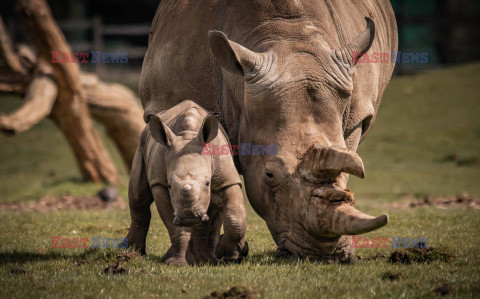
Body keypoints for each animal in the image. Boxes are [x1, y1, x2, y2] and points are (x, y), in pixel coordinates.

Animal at [125, 102, 248, 266]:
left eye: (207, 183)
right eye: (170, 185)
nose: (190, 215)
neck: (188, 135)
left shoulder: (227, 181)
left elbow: (236, 216)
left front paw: (232, 257)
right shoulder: (160, 184)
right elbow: (177, 228)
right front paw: (177, 263)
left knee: (214, 216)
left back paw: (207, 259)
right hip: (142, 144)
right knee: (138, 196)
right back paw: (133, 252)